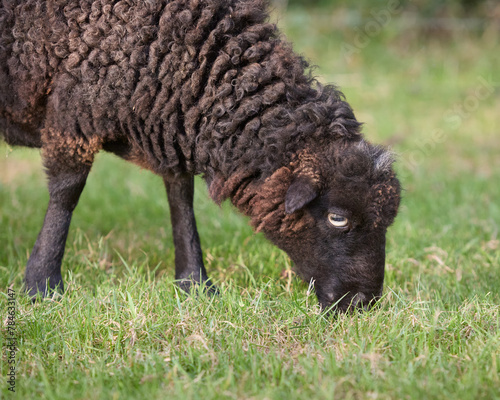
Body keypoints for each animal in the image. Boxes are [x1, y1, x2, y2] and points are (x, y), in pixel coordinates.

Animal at [0, 0, 398, 312]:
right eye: (337, 218)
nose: (363, 303)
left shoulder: (167, 124)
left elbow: (181, 197)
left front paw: (195, 284)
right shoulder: (74, 112)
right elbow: (67, 192)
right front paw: (42, 285)